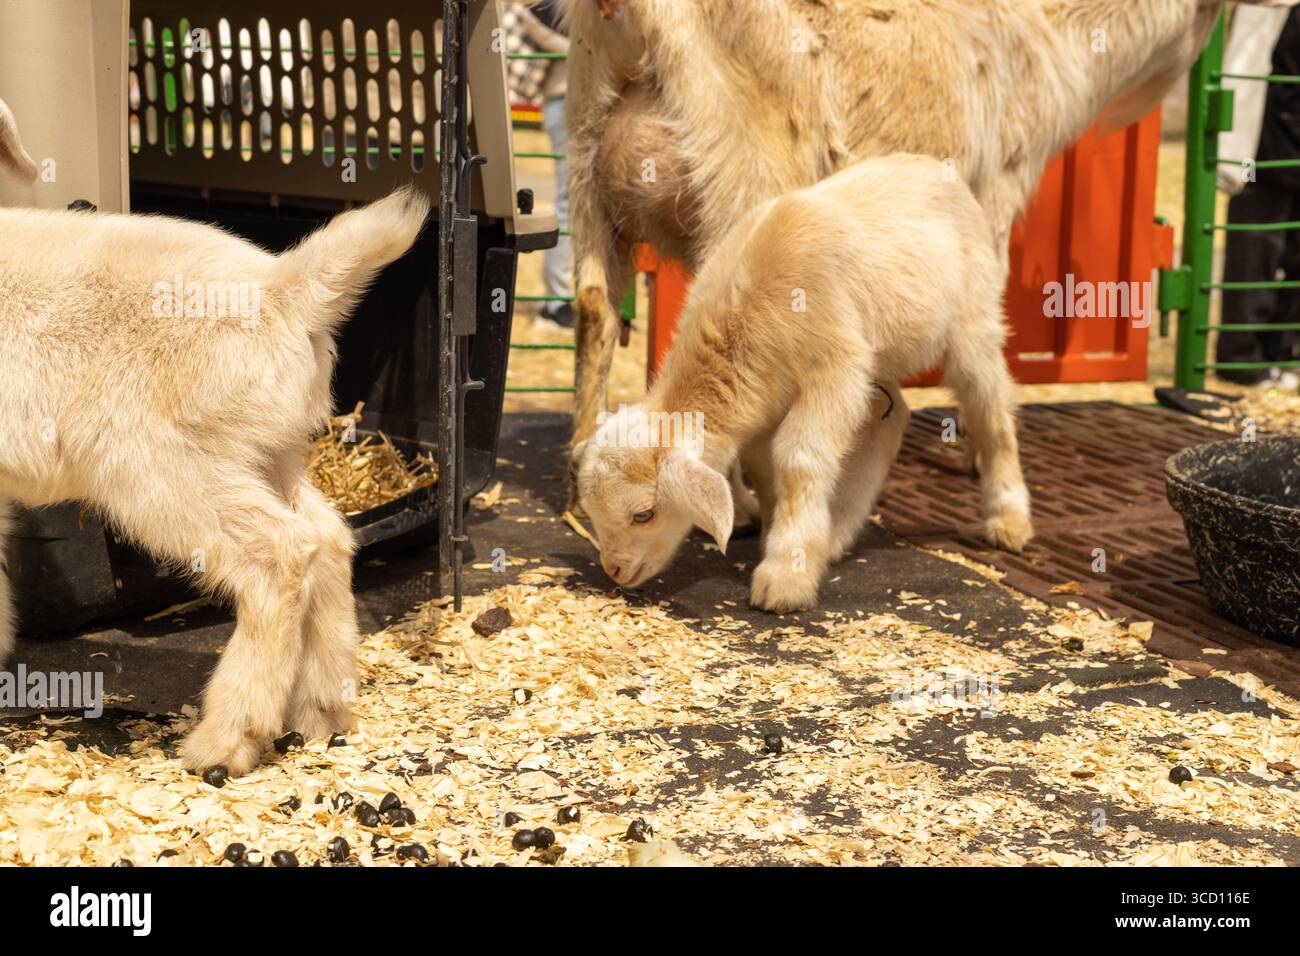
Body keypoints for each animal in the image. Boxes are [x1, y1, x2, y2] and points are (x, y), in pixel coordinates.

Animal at [0, 102, 429, 775]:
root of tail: (286, 290)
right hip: (269, 453)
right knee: (328, 541)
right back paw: (323, 712)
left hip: (158, 466)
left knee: (278, 555)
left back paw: (226, 740)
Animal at [573, 153, 1029, 612]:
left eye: (644, 514)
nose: (615, 571)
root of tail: (929, 163)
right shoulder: (770, 395)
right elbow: (763, 464)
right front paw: (784, 539)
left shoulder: (834, 370)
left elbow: (798, 460)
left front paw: (785, 573)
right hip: (876, 355)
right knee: (892, 418)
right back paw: (838, 530)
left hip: (972, 324)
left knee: (991, 413)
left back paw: (1010, 519)